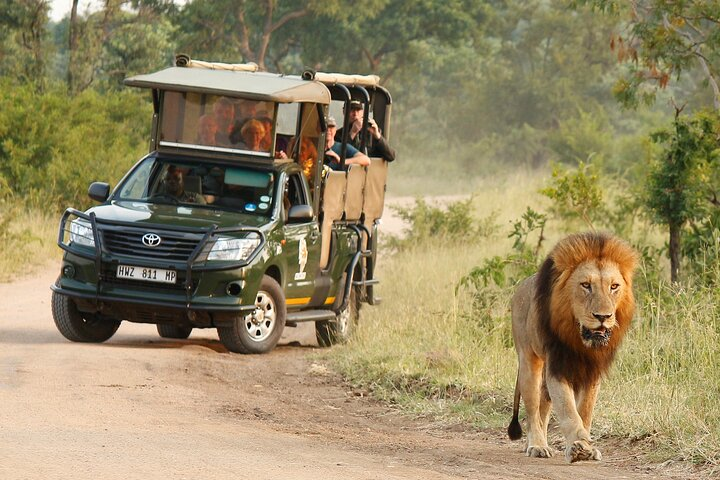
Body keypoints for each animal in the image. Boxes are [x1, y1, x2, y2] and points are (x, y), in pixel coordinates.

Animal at [506, 231, 636, 464]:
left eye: (614, 286)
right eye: (586, 285)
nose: (603, 316)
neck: (580, 340)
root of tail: (521, 286)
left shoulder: (592, 372)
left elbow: (584, 411)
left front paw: (587, 447)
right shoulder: (558, 367)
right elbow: (568, 409)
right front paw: (579, 444)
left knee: (543, 407)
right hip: (529, 361)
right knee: (532, 409)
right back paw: (537, 445)